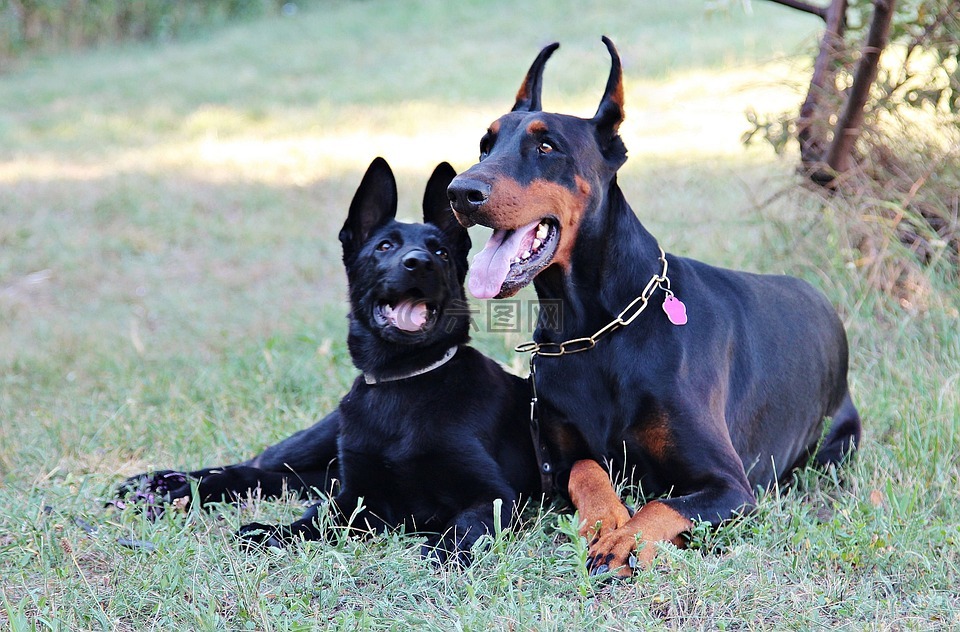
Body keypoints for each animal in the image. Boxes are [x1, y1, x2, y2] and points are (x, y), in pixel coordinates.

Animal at [118, 159, 540, 564]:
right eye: (384, 247)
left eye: (441, 253)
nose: (420, 264)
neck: (405, 381)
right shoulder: (357, 494)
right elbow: (316, 516)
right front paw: (273, 533)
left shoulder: (496, 496)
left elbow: (467, 524)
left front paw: (446, 551)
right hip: (318, 440)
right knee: (255, 464)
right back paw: (160, 484)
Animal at [448, 37, 864, 576]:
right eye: (485, 144)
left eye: (547, 146)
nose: (460, 192)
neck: (595, 331)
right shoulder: (554, 463)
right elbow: (588, 469)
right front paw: (605, 519)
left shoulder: (731, 486)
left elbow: (661, 504)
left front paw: (624, 541)